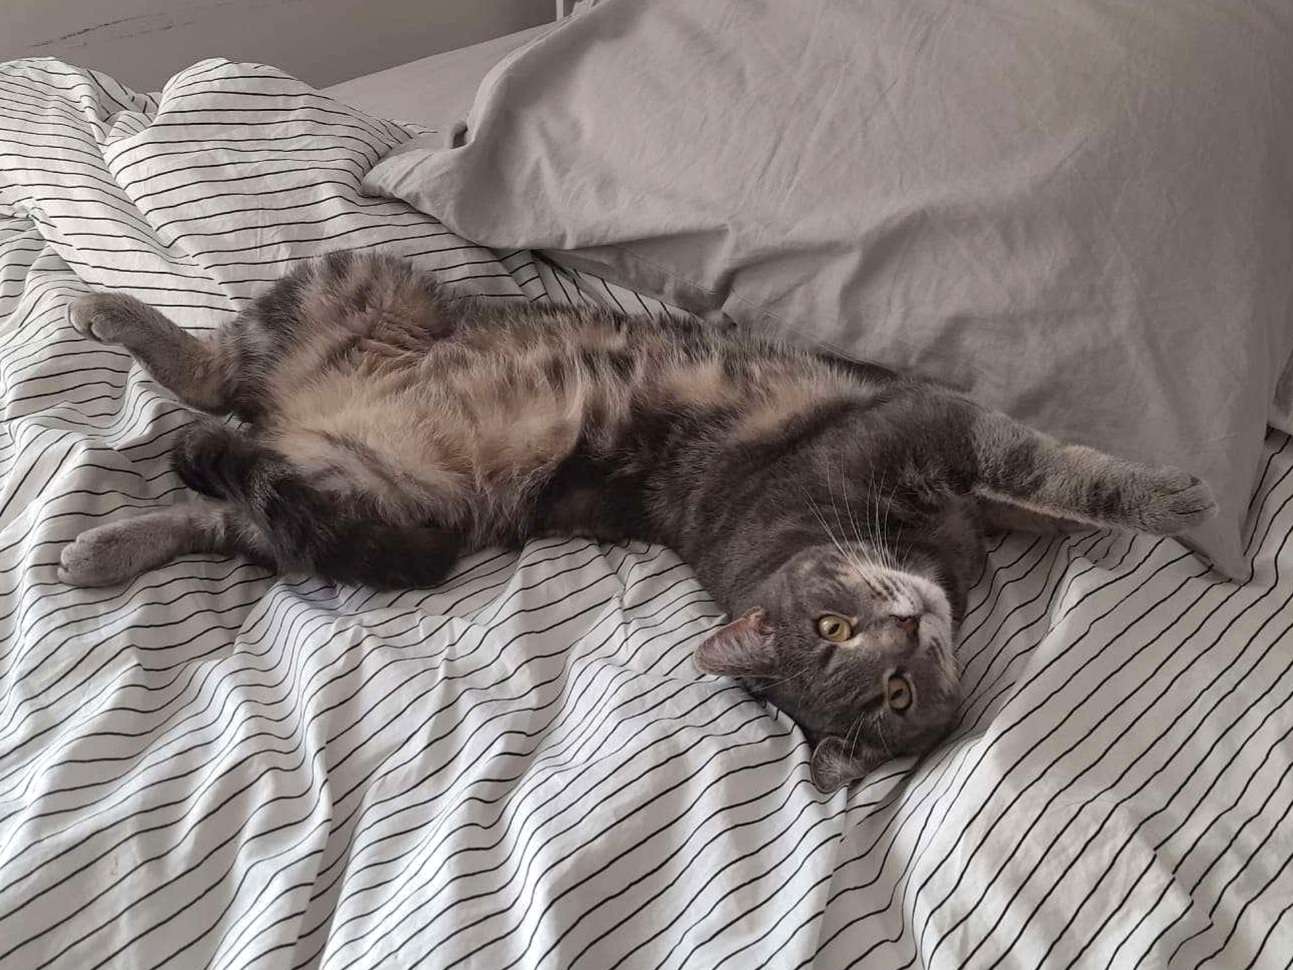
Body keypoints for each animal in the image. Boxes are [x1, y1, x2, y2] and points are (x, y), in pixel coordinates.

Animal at [58, 251, 1217, 791]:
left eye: (884, 675)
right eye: (844, 644)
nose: (909, 628)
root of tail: (292, 416)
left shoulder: (944, 447)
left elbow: (1051, 481)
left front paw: (1172, 513)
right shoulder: (930, 429)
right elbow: (1061, 470)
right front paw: (1189, 509)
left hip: (377, 501)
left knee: (229, 502)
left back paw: (105, 540)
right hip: (353, 341)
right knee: (214, 385)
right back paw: (114, 333)